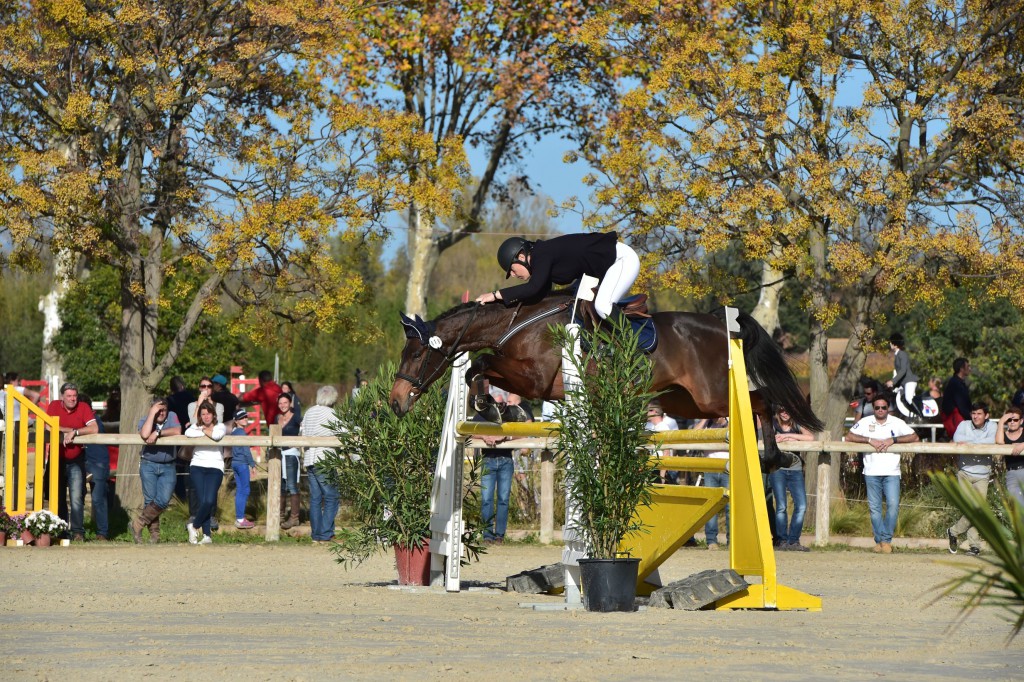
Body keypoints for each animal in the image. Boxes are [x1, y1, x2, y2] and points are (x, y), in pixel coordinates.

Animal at [389, 288, 823, 471]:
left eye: (415, 354)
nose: (395, 401)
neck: (518, 322)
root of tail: (721, 324)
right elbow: (478, 365)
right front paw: (488, 405)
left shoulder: (535, 381)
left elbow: (479, 363)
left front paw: (486, 405)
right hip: (685, 400)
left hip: (711, 396)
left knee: (763, 400)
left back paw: (775, 457)